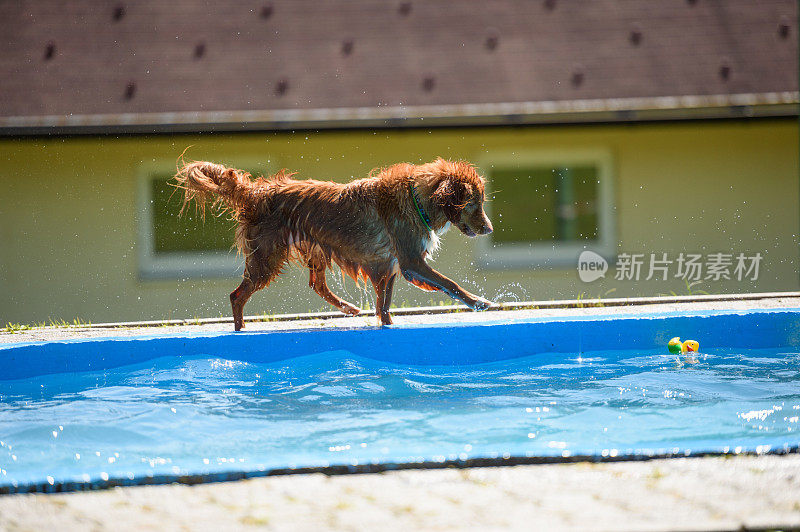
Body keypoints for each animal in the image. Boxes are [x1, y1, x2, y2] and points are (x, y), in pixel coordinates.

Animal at [175, 158, 494, 330]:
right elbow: (450, 283)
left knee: (316, 284)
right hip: (266, 258)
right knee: (236, 295)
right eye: (475, 204)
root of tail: (256, 192)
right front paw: (479, 302)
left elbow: (384, 302)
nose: (489, 229)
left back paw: (349, 308)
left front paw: (387, 324)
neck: (417, 198)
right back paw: (240, 328)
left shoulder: (389, 264)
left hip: (314, 248)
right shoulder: (411, 261)